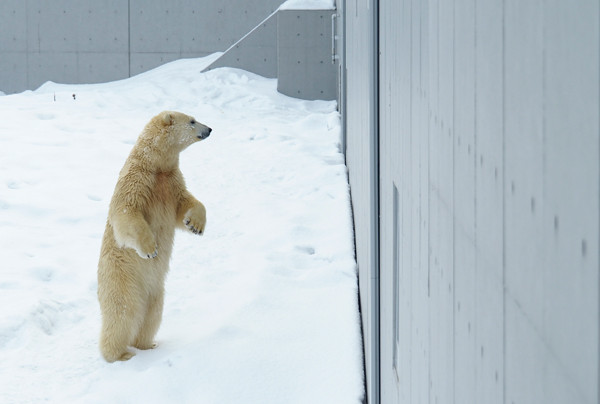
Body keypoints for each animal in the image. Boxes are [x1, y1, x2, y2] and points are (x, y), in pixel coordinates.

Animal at [97, 111, 212, 362]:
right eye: (191, 120)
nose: (209, 129)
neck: (155, 165)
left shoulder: (171, 182)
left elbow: (186, 203)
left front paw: (195, 225)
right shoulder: (138, 179)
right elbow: (126, 211)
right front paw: (151, 249)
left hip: (155, 291)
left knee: (152, 315)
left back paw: (148, 345)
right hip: (123, 279)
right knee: (124, 314)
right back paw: (119, 354)